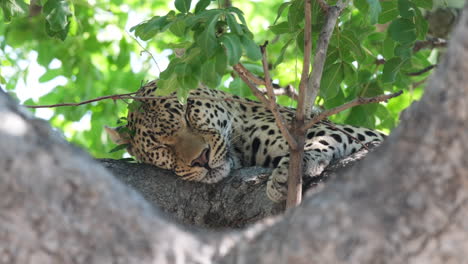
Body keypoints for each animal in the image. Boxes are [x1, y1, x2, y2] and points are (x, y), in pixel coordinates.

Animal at [108, 80, 386, 202]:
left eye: (188, 113)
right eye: (160, 145)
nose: (201, 159)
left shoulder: (359, 134)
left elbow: (321, 139)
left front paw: (286, 174)